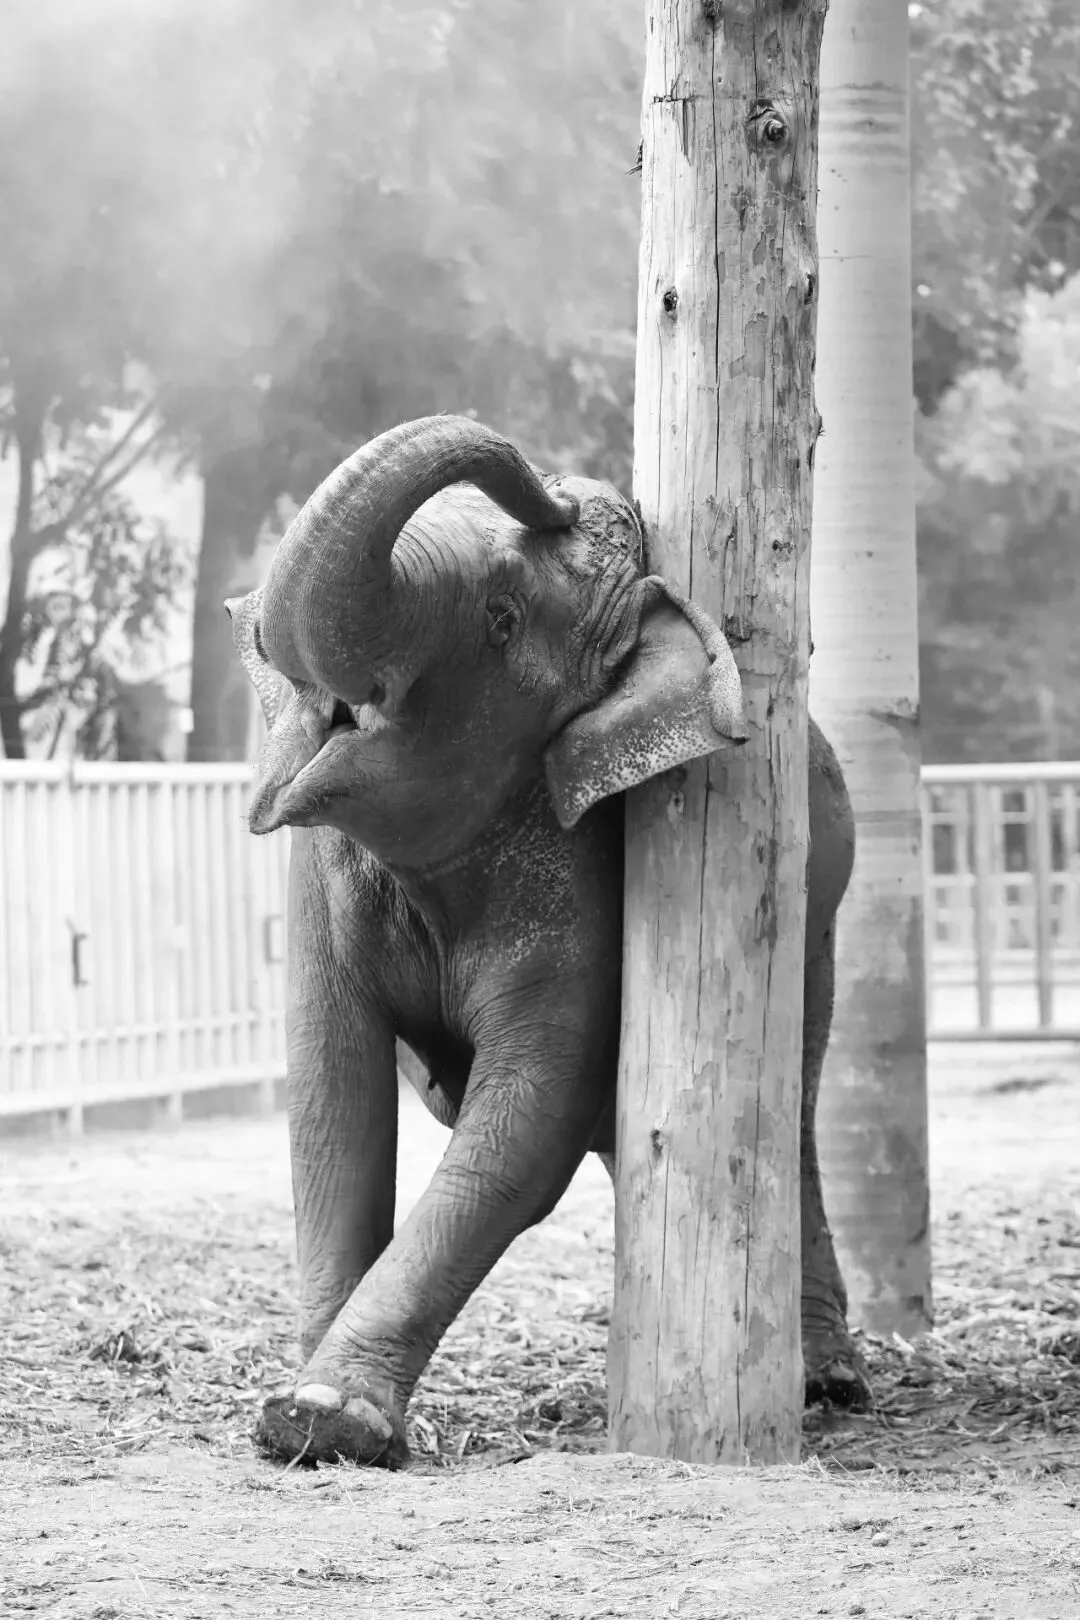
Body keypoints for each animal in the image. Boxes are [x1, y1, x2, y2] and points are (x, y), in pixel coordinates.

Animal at [227, 414, 865, 1469]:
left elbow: (526, 1117)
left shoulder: (584, 868)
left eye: (502, 619)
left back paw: (829, 1387)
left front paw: (330, 1414)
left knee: (796, 1115)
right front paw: (298, 1423)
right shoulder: (320, 883)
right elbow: (333, 1105)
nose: (560, 491)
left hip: (816, 927)